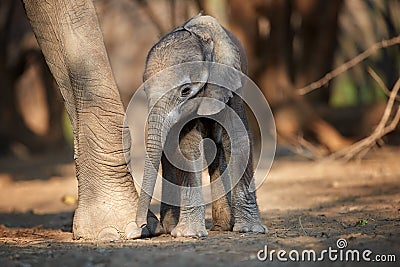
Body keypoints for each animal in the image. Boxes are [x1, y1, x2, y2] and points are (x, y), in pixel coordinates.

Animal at [136, 14, 268, 238]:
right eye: (145, 90)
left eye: (185, 91)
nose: (139, 225)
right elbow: (187, 147)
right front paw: (188, 234)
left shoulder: (231, 82)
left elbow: (238, 138)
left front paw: (250, 230)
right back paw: (174, 227)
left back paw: (223, 226)